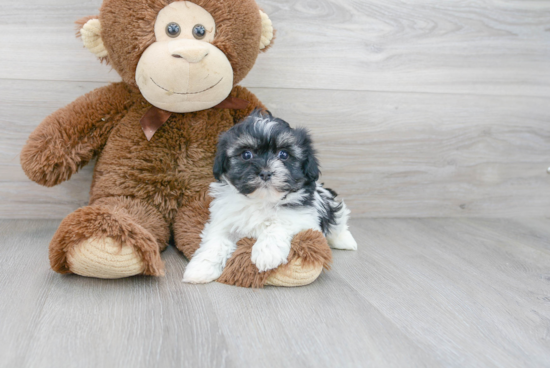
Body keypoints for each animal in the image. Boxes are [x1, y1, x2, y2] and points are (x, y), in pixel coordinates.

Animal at [183, 110, 360, 284]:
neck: (262, 200)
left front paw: (266, 253)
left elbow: (279, 223)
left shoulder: (303, 216)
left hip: (329, 203)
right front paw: (201, 268)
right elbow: (216, 240)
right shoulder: (224, 219)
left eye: (283, 154)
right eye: (246, 155)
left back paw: (346, 241)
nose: (265, 172)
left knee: (338, 221)